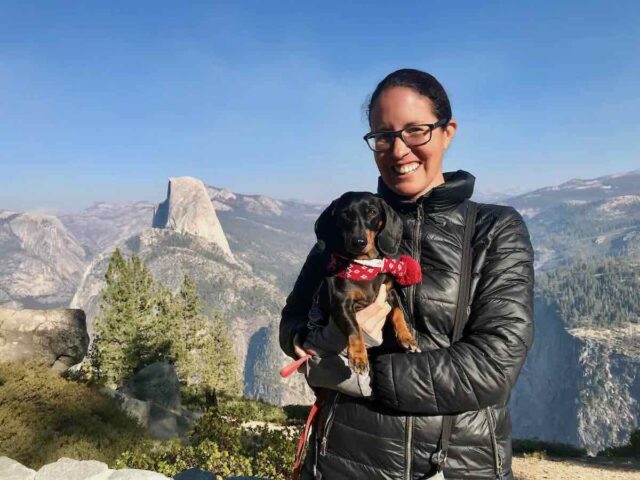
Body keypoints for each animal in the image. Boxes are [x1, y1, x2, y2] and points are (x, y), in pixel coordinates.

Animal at [314, 191, 422, 376]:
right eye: (345, 214)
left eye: (372, 212)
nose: (359, 242)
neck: (366, 266)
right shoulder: (341, 303)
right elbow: (355, 328)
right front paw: (359, 357)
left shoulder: (390, 292)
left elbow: (398, 313)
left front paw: (407, 337)